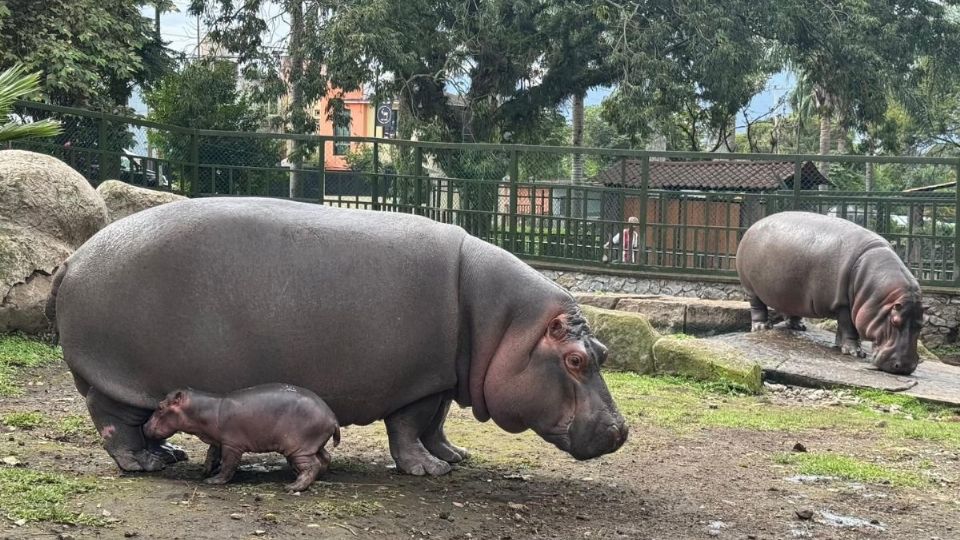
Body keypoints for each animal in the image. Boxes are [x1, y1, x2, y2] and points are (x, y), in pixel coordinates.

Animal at [48, 196, 628, 474]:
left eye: (603, 350)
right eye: (576, 360)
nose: (621, 430)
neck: (508, 324)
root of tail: (74, 258)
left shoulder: (444, 375)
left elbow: (437, 423)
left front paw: (453, 457)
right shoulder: (417, 380)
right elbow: (409, 427)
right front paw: (428, 472)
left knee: (132, 423)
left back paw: (169, 455)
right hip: (118, 376)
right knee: (113, 423)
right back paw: (146, 463)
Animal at [141, 382, 340, 492]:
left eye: (160, 407)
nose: (143, 426)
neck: (204, 409)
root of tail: (333, 417)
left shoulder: (231, 444)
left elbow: (228, 464)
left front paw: (213, 481)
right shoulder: (217, 441)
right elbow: (211, 454)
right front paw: (205, 471)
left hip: (298, 448)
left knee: (312, 465)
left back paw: (293, 487)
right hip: (314, 445)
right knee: (325, 458)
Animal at [736, 212, 924, 376]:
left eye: (921, 325)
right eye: (894, 321)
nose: (905, 367)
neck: (881, 299)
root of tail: (752, 226)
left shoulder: (848, 305)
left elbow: (843, 328)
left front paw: (840, 346)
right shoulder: (844, 304)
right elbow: (849, 327)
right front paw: (855, 353)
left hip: (791, 292)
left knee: (790, 308)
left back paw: (798, 326)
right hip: (750, 288)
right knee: (757, 307)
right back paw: (761, 327)